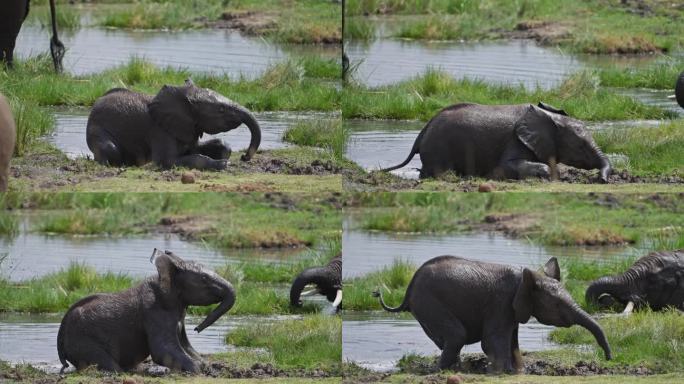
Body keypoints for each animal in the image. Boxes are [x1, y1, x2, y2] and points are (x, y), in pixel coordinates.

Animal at [54, 249, 235, 372]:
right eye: (204, 279)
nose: (197, 328)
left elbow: (186, 347)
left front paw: (207, 367)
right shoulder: (155, 312)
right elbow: (162, 350)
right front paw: (198, 371)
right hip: (82, 340)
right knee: (109, 364)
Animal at [83, 80, 260, 171]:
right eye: (221, 109)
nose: (244, 157)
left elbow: (209, 147)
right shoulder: (159, 130)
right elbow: (167, 161)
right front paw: (223, 164)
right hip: (96, 129)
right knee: (110, 149)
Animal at [374, 256, 608, 374]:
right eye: (557, 304)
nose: (608, 358)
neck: (525, 279)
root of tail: (408, 290)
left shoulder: (511, 309)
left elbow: (512, 342)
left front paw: (518, 372)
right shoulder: (500, 303)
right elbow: (492, 341)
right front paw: (503, 372)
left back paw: (455, 369)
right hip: (429, 302)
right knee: (456, 336)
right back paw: (439, 371)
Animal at [382, 103, 612, 182]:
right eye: (580, 146)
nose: (602, 180)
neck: (550, 118)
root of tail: (423, 130)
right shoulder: (515, 140)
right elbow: (506, 166)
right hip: (439, 147)